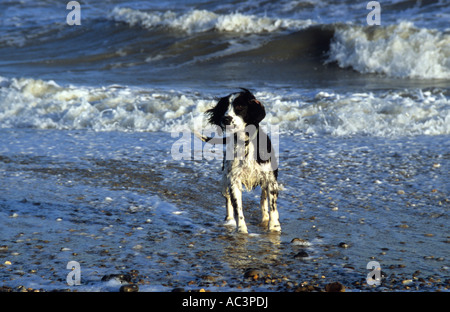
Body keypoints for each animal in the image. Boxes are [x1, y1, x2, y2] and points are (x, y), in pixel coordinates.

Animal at [198, 89, 282, 233]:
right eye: (224, 107)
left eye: (240, 107)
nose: (226, 119)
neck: (245, 143)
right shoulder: (233, 181)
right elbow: (237, 208)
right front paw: (241, 230)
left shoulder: (270, 180)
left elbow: (272, 206)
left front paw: (274, 227)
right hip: (224, 180)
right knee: (228, 202)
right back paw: (229, 220)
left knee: (263, 199)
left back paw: (265, 219)